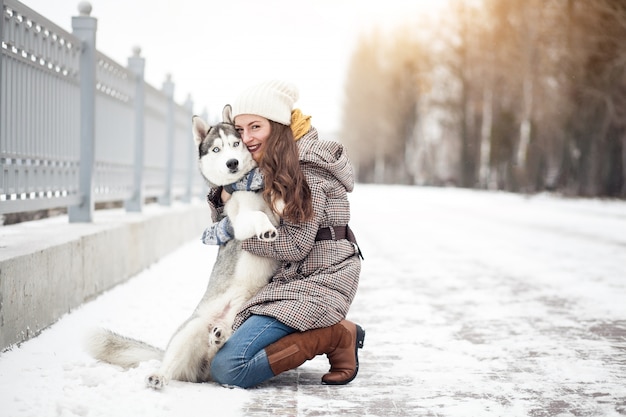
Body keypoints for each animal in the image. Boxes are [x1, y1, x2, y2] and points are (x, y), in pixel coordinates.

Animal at [84, 105, 280, 388]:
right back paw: (160, 374)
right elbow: (257, 216)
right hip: (189, 332)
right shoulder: (238, 222)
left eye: (236, 144)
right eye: (216, 149)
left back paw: (219, 336)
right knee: (172, 365)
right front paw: (266, 229)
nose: (232, 163)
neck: (246, 186)